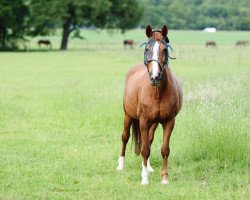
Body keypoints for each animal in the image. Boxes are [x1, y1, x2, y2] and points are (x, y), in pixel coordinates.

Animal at [117, 25, 184, 185]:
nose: (155, 76)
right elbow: (144, 150)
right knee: (125, 137)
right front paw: (145, 179)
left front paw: (164, 178)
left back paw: (148, 167)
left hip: (154, 123)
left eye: (164, 49)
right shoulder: (143, 120)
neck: (157, 92)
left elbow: (164, 149)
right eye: (147, 48)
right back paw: (121, 165)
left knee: (148, 140)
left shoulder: (169, 122)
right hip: (128, 115)